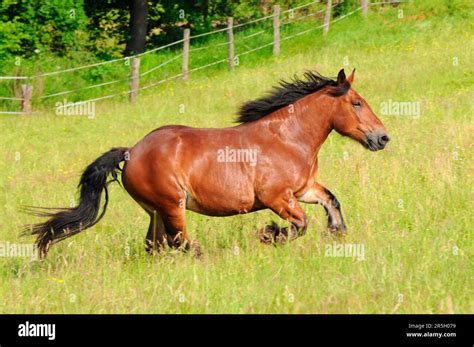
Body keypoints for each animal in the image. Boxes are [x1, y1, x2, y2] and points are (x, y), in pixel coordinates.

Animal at [27, 68, 388, 258]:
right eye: (357, 103)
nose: (383, 138)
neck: (287, 138)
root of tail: (131, 152)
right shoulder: (278, 198)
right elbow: (301, 225)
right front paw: (268, 234)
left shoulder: (302, 190)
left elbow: (331, 200)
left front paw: (337, 230)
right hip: (172, 205)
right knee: (179, 242)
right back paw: (205, 257)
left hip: (156, 211)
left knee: (155, 245)